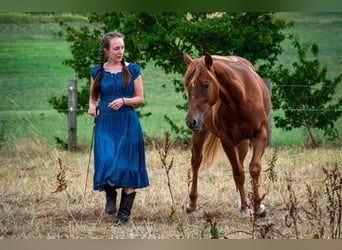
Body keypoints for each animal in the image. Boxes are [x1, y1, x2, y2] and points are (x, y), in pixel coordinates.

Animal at [183, 52, 272, 217]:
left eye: (206, 85)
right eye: (187, 85)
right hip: (200, 132)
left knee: (241, 162)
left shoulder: (260, 134)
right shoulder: (226, 140)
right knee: (196, 162)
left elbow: (254, 168)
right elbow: (238, 173)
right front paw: (247, 208)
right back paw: (192, 204)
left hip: (242, 142)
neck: (240, 98)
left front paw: (258, 207)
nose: (191, 121)